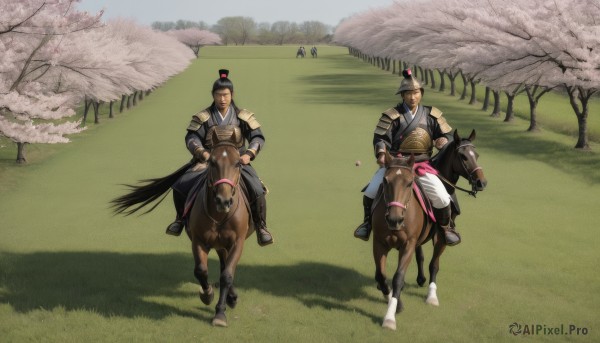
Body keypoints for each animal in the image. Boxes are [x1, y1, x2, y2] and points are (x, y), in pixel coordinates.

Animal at [110, 131, 253, 328]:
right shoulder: (199, 240)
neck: (219, 215)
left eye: (238, 163)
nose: (223, 201)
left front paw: (220, 314)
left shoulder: (237, 242)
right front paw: (207, 295)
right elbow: (201, 270)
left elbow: (226, 275)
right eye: (212, 162)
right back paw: (230, 296)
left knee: (226, 267)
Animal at [372, 129, 486, 330]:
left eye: (476, 155)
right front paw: (391, 299)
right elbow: (381, 275)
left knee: (431, 262)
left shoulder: (420, 241)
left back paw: (429, 292)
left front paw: (391, 315)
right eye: (463, 156)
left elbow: (406, 274)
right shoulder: (379, 242)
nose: (481, 182)